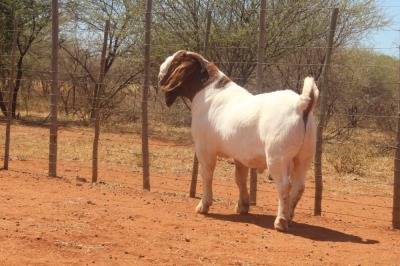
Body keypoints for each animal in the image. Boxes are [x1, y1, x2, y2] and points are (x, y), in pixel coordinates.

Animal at [159, 50, 318, 233]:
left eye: (175, 61)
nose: (160, 68)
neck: (208, 91)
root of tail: (301, 104)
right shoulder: (239, 156)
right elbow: (240, 178)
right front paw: (242, 206)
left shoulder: (204, 149)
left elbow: (207, 174)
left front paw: (203, 206)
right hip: (304, 157)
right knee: (299, 187)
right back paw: (290, 217)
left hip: (278, 158)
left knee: (285, 186)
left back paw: (281, 221)